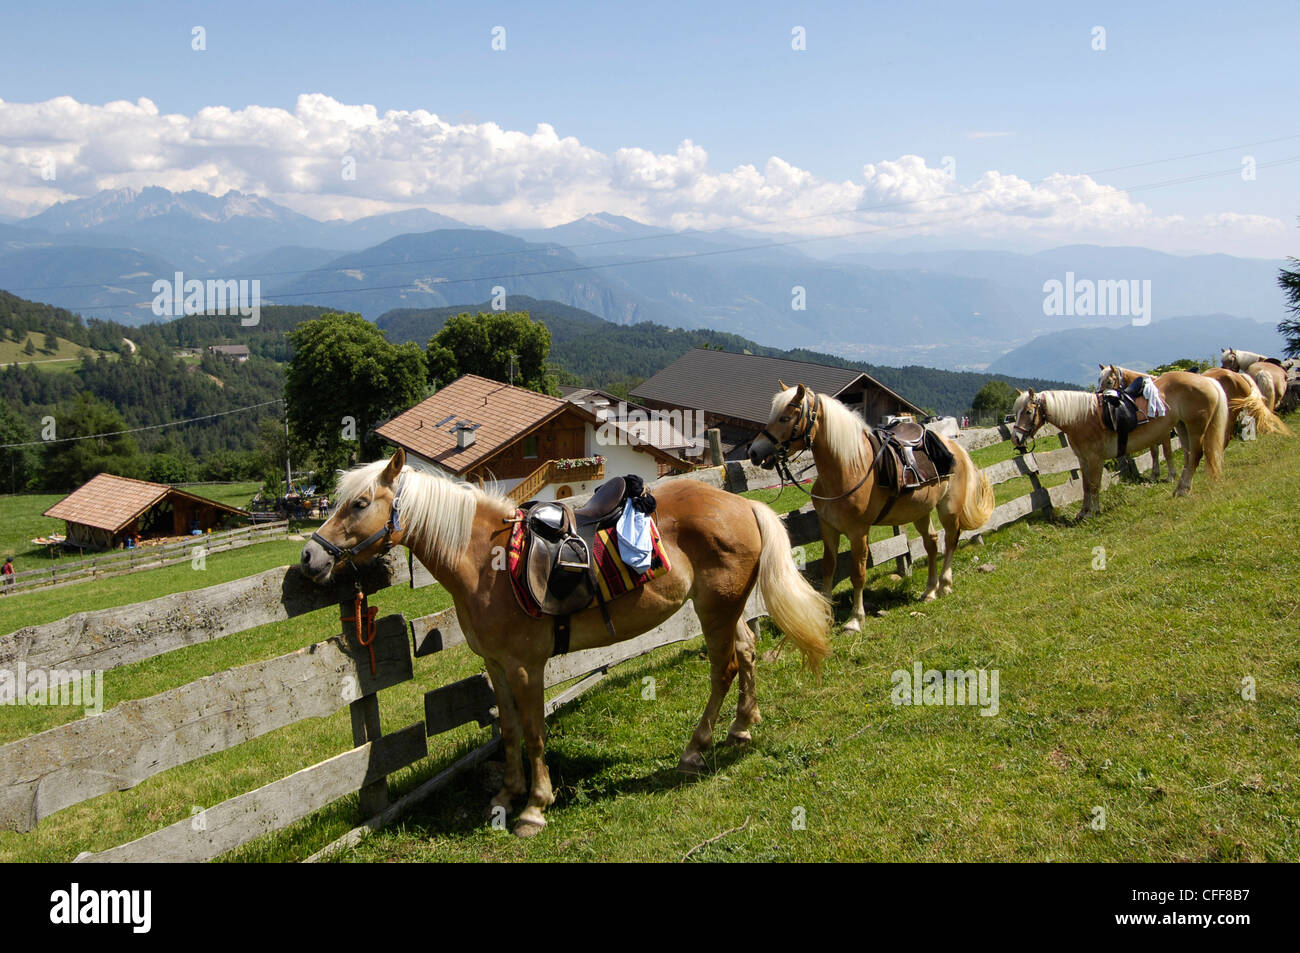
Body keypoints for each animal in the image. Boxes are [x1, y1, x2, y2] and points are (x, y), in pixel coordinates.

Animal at [299, 447, 832, 832]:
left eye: (359, 503)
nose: (309, 557)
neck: (484, 560)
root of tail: (743, 504)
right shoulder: (495, 665)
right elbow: (509, 730)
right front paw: (506, 794)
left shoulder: (525, 666)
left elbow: (535, 732)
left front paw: (535, 807)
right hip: (724, 609)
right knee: (746, 652)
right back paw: (742, 726)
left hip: (715, 611)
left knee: (723, 669)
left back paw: (695, 749)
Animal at [748, 379, 987, 631]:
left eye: (785, 417)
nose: (754, 451)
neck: (849, 468)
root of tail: (954, 446)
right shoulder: (828, 528)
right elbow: (828, 567)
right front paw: (825, 614)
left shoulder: (858, 532)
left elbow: (858, 573)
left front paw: (855, 619)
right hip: (920, 511)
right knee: (931, 543)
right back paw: (929, 591)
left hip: (948, 508)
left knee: (950, 540)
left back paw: (945, 584)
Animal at [1008, 374, 1222, 520]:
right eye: (1015, 413)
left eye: (1028, 412)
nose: (1016, 438)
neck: (1080, 418)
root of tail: (1206, 380)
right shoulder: (1083, 460)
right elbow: (1085, 485)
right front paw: (1083, 512)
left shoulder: (1095, 459)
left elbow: (1094, 485)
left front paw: (1092, 512)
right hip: (1182, 426)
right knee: (1188, 457)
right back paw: (1181, 488)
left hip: (1195, 428)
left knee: (1195, 455)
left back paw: (1182, 490)